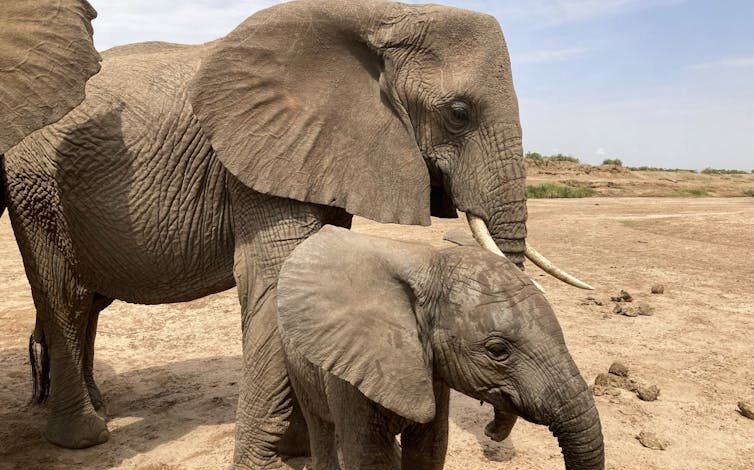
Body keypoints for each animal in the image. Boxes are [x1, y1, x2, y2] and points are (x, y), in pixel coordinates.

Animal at [278, 226, 604, 468]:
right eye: (497, 351)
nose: (489, 430)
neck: (430, 265)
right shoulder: (354, 370)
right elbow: (369, 456)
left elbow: (431, 450)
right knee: (320, 427)